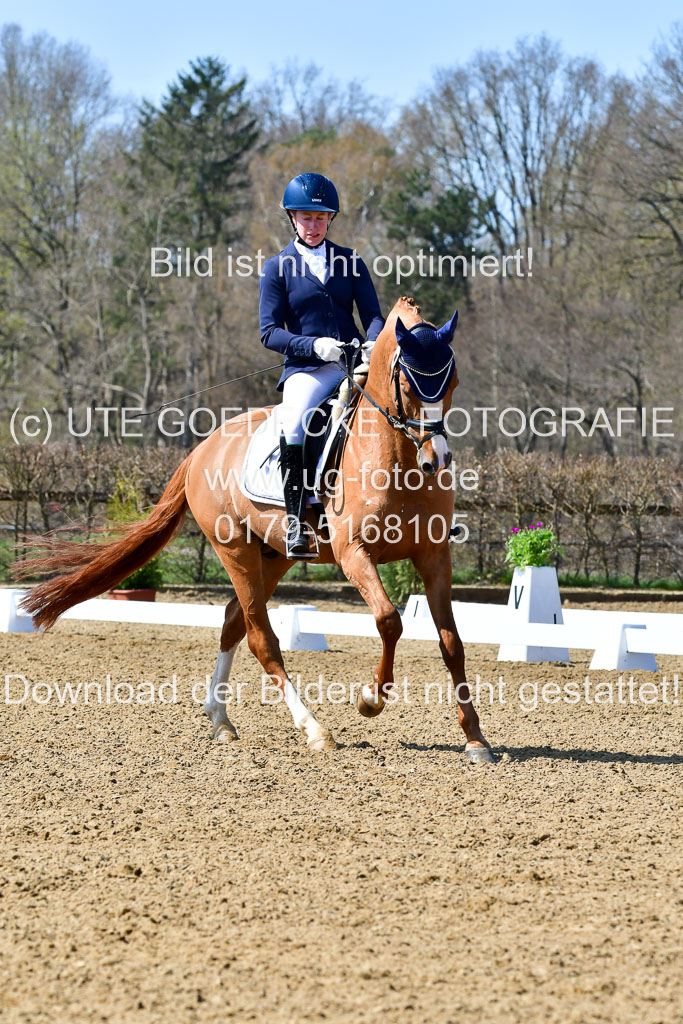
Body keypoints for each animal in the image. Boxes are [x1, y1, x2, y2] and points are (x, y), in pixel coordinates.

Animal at [18, 296, 493, 761]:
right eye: (409, 386)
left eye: (452, 383)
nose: (436, 460)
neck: (395, 459)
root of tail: (203, 449)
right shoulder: (353, 553)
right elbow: (389, 620)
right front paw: (370, 700)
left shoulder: (434, 556)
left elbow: (452, 642)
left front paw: (475, 739)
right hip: (235, 550)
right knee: (260, 638)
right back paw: (314, 729)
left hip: (276, 555)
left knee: (234, 619)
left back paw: (220, 720)